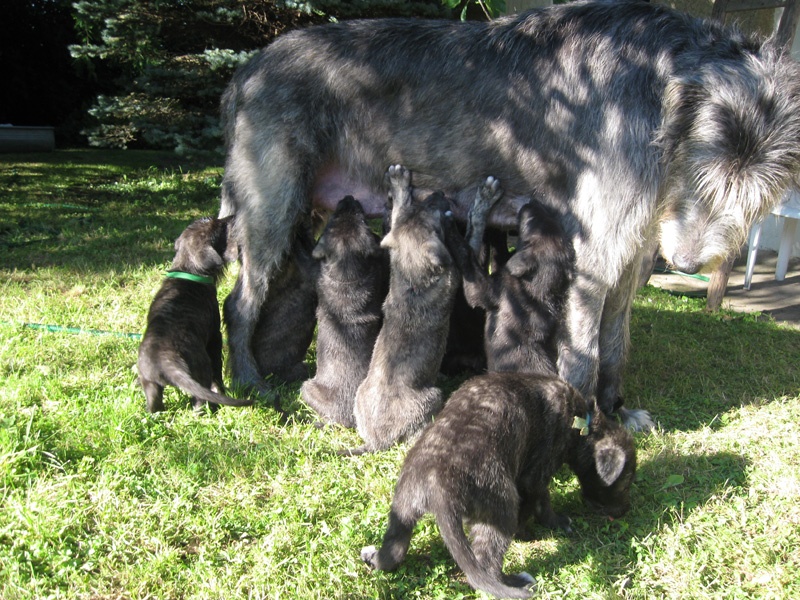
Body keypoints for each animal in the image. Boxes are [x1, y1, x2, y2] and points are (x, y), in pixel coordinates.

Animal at [136, 218, 252, 414]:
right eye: (219, 227)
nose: (230, 218)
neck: (188, 270)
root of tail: (165, 362)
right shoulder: (215, 336)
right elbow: (217, 370)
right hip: (201, 367)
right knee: (201, 397)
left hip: (150, 384)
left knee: (154, 404)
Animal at [300, 196, 388, 426]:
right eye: (337, 217)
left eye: (362, 218)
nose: (348, 197)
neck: (347, 274)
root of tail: (347, 419)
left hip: (306, 387)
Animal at [348, 165, 460, 454]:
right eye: (435, 221)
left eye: (422, 207)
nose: (439, 193)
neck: (413, 278)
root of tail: (376, 442)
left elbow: (398, 214)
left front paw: (399, 184)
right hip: (433, 397)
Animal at [450, 188, 576, 376]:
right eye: (551, 220)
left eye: (532, 222)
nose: (532, 202)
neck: (537, 288)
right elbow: (496, 252)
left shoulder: (490, 289)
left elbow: (468, 251)